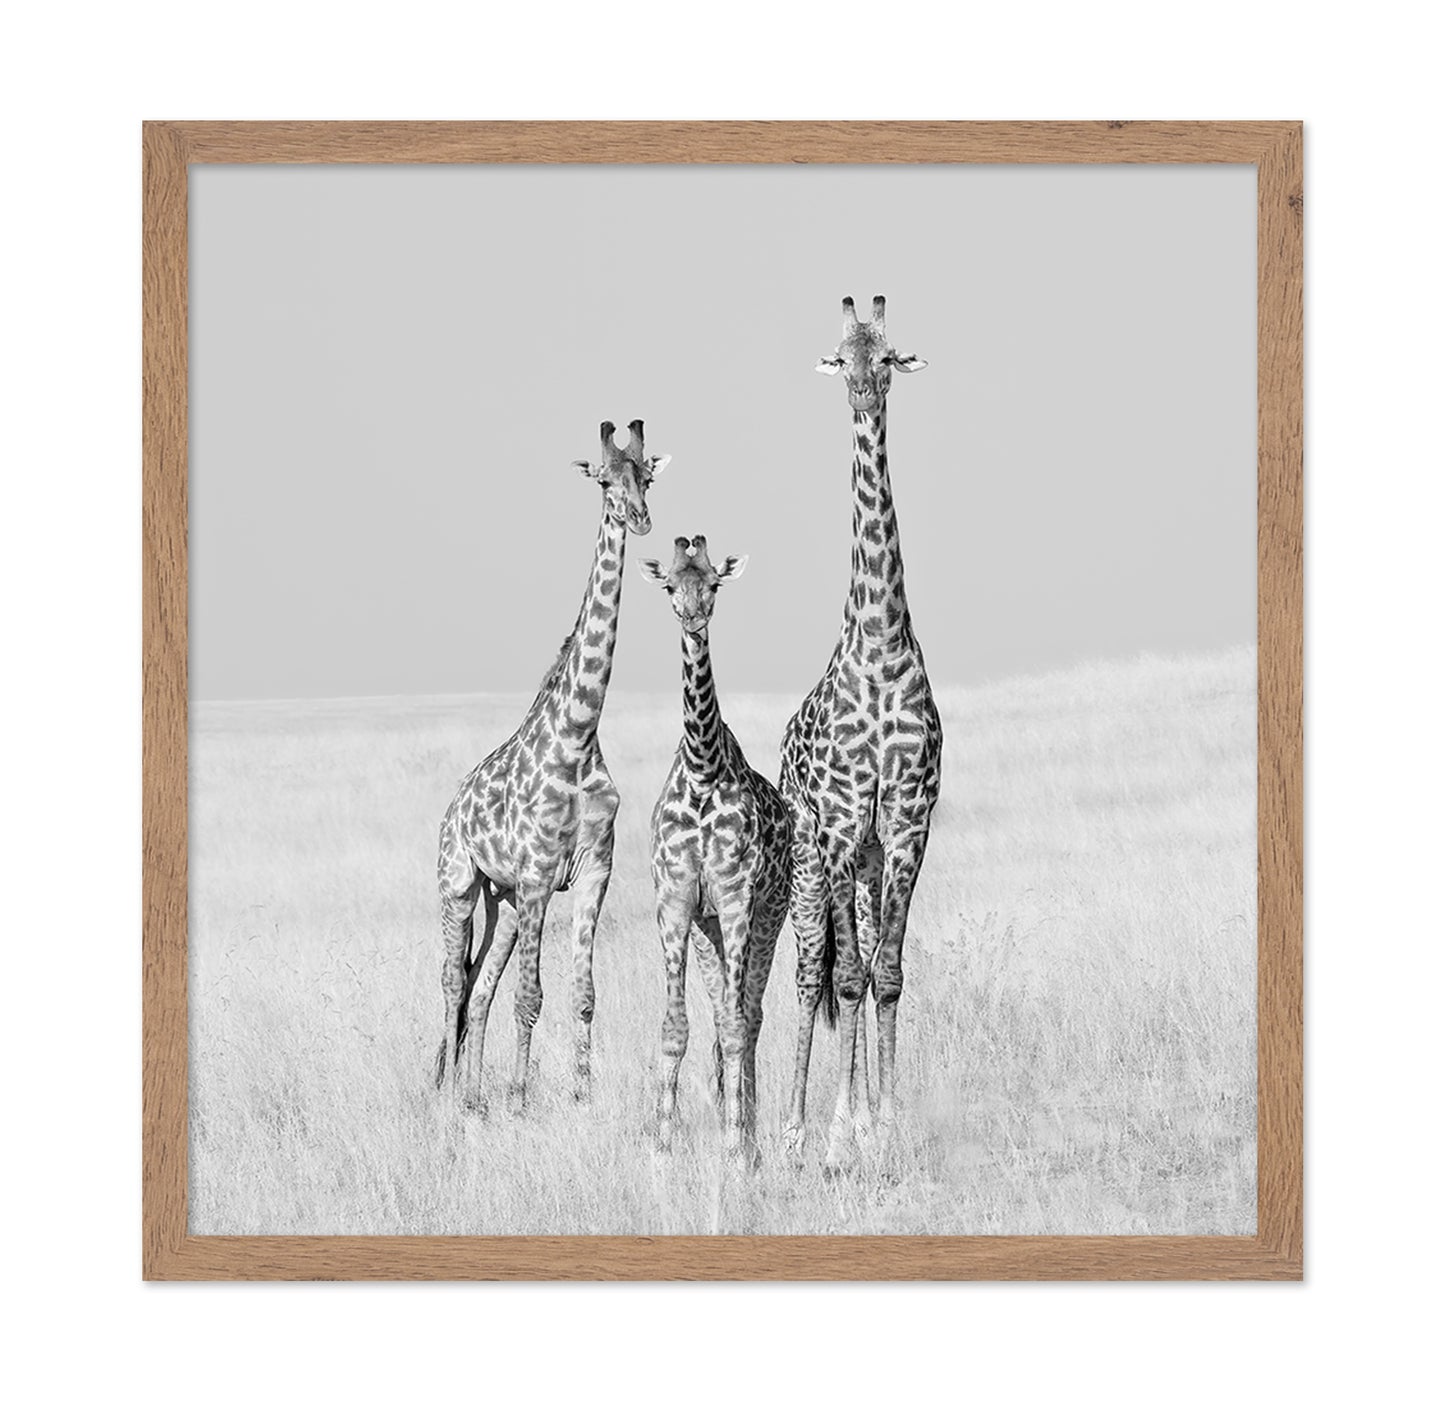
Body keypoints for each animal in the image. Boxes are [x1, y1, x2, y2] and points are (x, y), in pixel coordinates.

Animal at [434, 419, 670, 1113]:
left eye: (647, 475)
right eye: (604, 480)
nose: (641, 518)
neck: (578, 735)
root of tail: (451, 808)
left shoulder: (593, 870)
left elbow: (582, 994)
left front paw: (580, 1094)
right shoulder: (540, 875)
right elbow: (531, 994)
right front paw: (519, 1096)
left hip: (504, 900)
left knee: (479, 985)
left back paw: (472, 1095)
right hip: (460, 884)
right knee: (453, 983)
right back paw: (454, 1094)